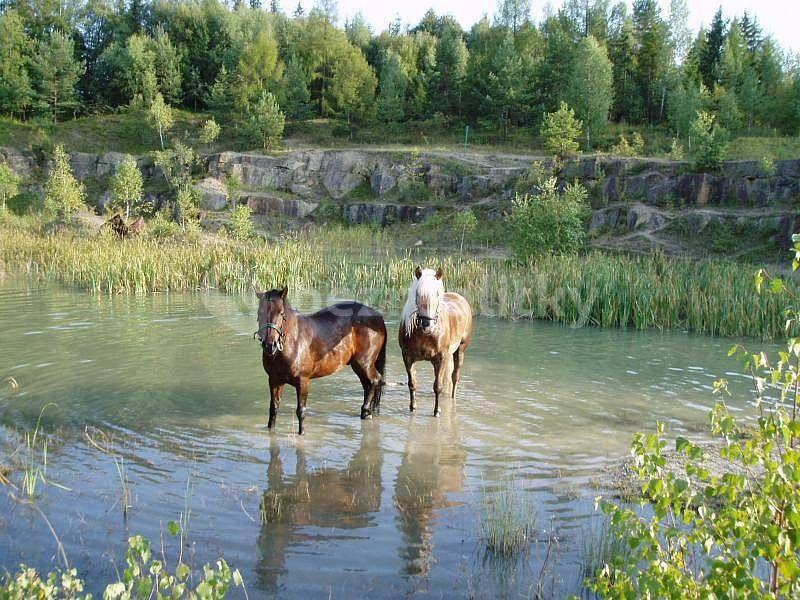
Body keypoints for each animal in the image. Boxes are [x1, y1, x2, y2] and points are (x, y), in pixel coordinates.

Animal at [253, 288, 384, 434]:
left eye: (281, 313)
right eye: (260, 312)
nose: (269, 345)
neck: (294, 341)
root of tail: (378, 316)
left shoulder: (303, 381)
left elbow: (301, 411)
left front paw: (302, 433)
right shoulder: (274, 380)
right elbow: (274, 408)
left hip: (364, 363)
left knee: (374, 380)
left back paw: (367, 412)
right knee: (370, 383)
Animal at [396, 268, 472, 418]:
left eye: (437, 294)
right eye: (418, 294)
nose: (427, 325)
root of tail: (460, 298)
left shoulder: (440, 358)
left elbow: (438, 387)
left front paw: (437, 411)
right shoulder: (407, 357)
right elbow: (412, 383)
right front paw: (412, 407)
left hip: (460, 350)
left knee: (455, 377)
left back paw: (452, 398)